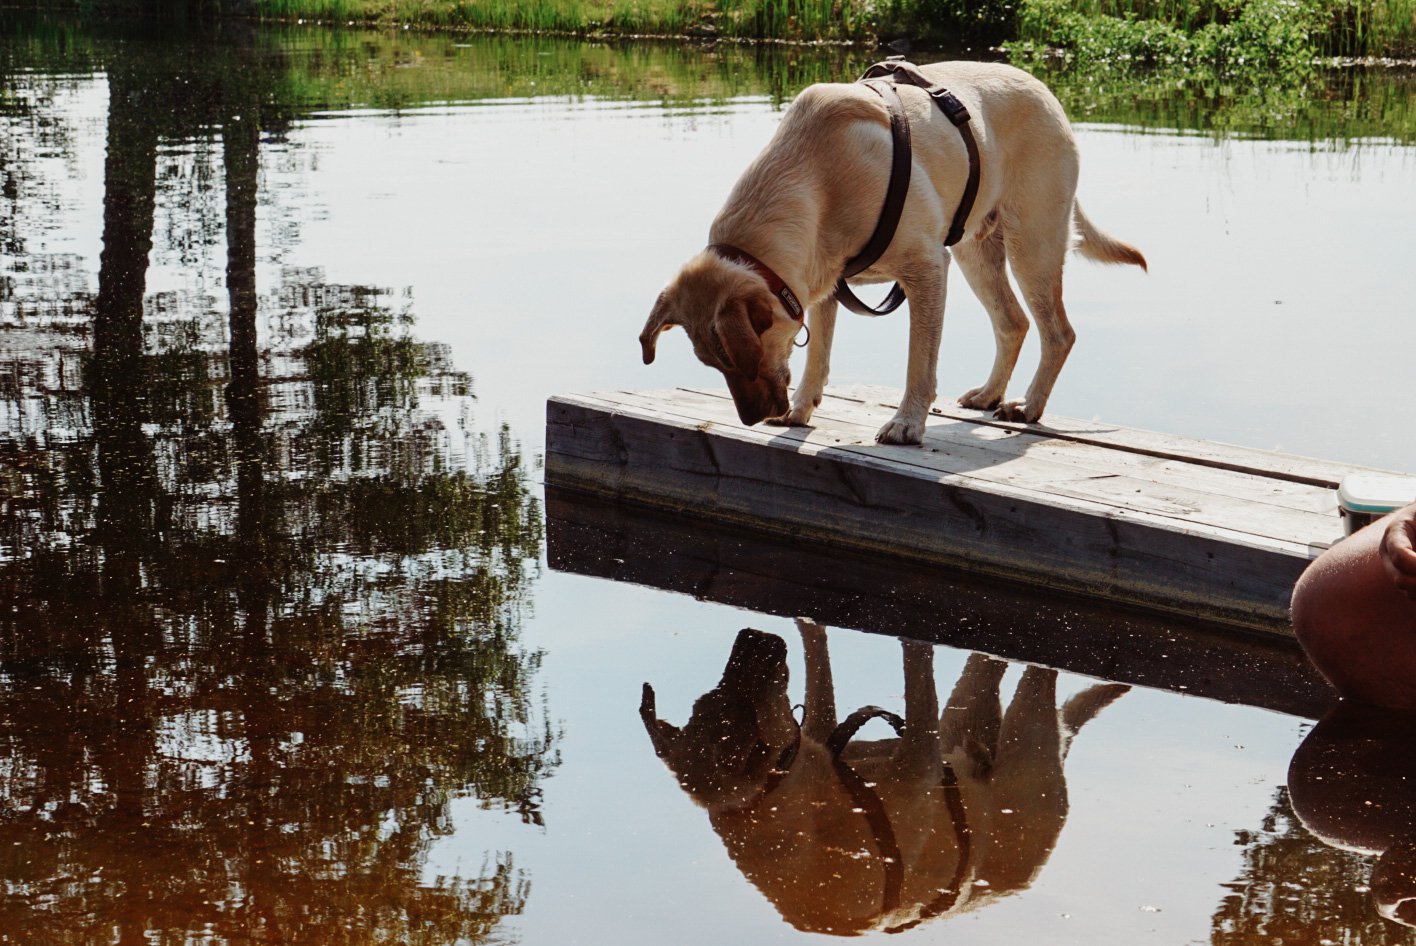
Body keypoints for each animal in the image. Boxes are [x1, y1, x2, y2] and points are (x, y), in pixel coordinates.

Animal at [637, 60, 1144, 444]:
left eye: (735, 358)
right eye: (711, 363)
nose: (750, 419)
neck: (814, 176)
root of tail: (1047, 92)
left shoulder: (927, 269)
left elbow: (919, 362)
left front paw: (906, 424)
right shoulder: (822, 283)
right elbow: (817, 355)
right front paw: (801, 410)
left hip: (1031, 243)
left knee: (1058, 332)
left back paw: (1029, 406)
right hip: (976, 252)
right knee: (1013, 322)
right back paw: (989, 394)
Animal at [642, 620, 1127, 929]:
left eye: (717, 693)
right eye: (735, 690)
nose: (752, 636)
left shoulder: (826, 731)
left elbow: (817, 653)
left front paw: (807, 621)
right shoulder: (919, 759)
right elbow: (916, 667)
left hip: (980, 718)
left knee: (996, 664)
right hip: (1022, 731)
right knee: (1031, 673)